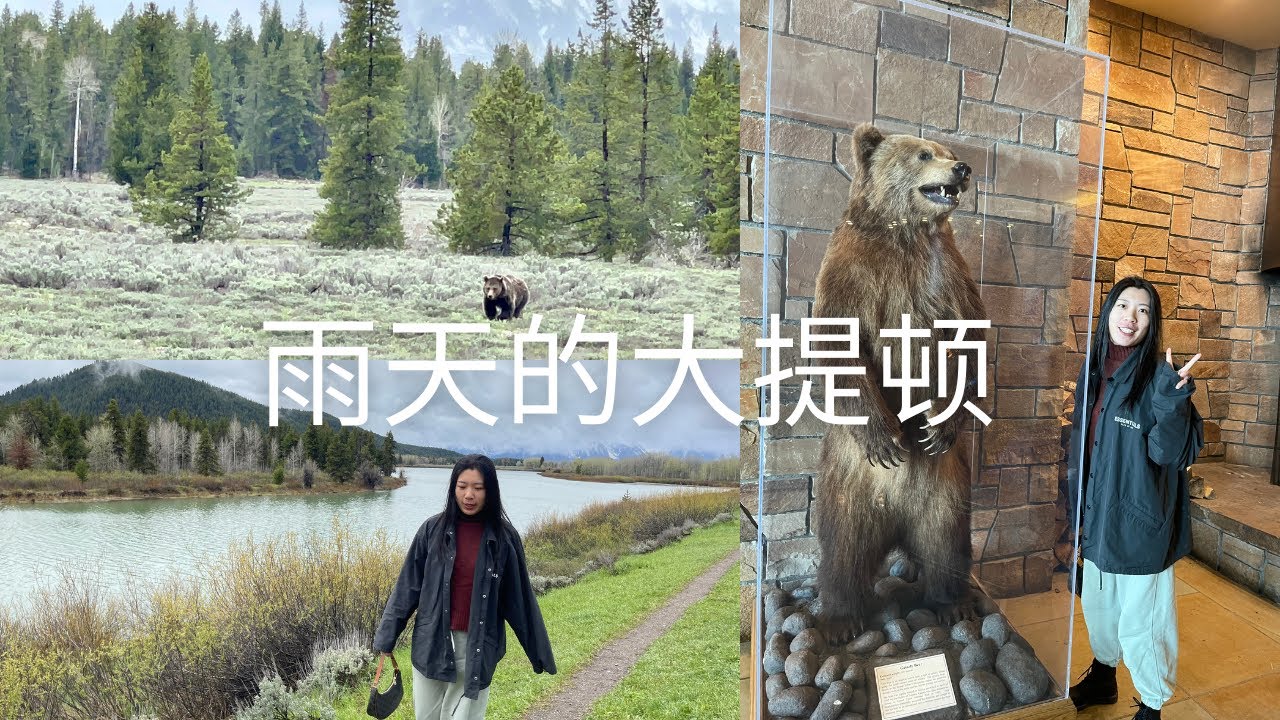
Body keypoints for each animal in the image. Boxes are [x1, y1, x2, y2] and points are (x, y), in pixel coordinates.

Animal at [809, 124, 988, 642]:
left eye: (949, 150)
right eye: (924, 153)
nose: (962, 167)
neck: (905, 234)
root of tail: (896, 523)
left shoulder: (946, 273)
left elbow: (969, 335)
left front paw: (939, 423)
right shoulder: (852, 271)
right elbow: (839, 345)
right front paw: (886, 437)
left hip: (947, 492)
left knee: (947, 545)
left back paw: (953, 605)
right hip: (848, 487)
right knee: (843, 552)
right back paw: (840, 620)